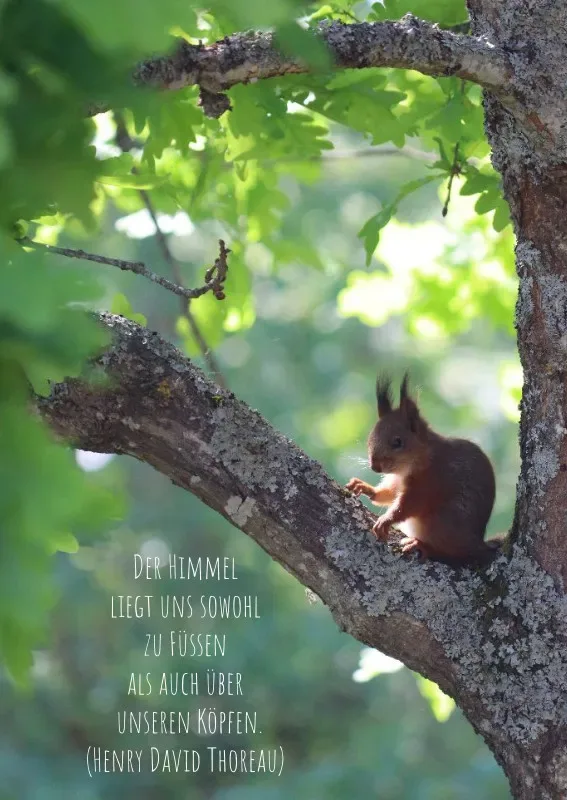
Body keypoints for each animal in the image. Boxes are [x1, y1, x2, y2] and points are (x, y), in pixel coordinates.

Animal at [346, 373, 501, 566]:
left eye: (397, 442)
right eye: (370, 438)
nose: (375, 467)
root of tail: (478, 544)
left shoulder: (430, 481)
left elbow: (407, 506)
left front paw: (385, 520)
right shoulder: (397, 481)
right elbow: (388, 494)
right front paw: (364, 487)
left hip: (443, 523)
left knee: (455, 554)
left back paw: (422, 545)